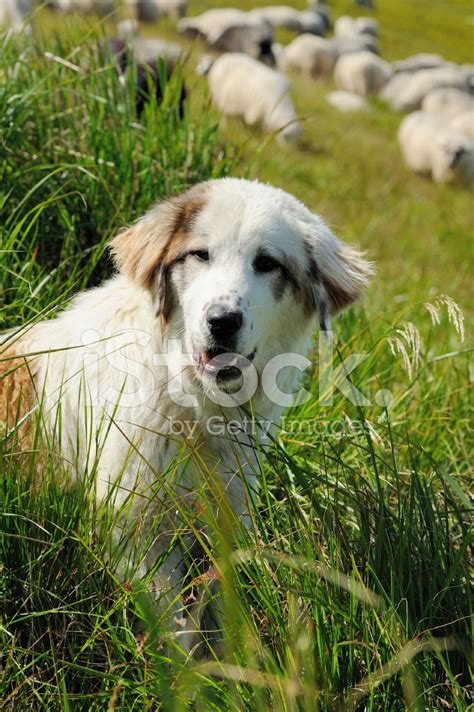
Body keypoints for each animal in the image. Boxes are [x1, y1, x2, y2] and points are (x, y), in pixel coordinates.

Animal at [0, 179, 372, 652]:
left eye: (267, 263)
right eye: (200, 255)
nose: (222, 320)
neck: (193, 406)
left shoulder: (222, 521)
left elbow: (213, 608)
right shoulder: (137, 535)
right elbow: (176, 630)